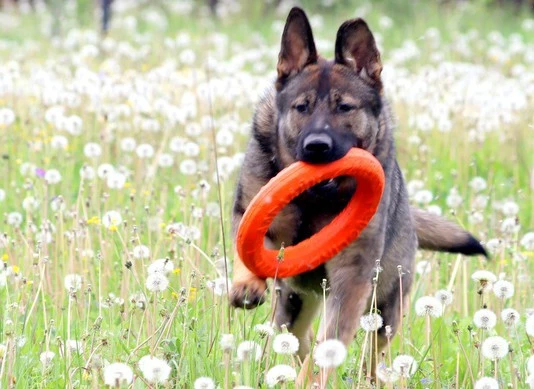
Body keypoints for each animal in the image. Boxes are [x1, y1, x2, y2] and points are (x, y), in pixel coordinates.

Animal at [228, 6, 488, 384]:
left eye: (345, 107)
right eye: (302, 107)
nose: (317, 147)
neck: (314, 201)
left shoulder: (352, 277)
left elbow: (329, 345)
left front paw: (313, 379)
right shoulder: (250, 211)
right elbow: (245, 248)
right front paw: (246, 286)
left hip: (385, 307)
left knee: (368, 352)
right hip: (294, 303)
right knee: (298, 336)